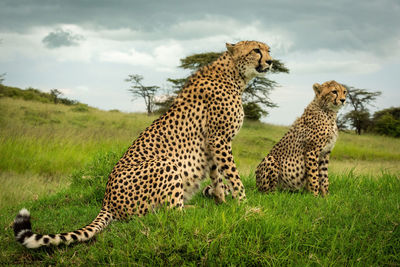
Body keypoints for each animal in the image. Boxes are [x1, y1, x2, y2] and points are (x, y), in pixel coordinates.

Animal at [14, 39, 274, 249]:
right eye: (256, 50)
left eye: (268, 49)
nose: (271, 62)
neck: (234, 75)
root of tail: (106, 200)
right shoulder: (219, 140)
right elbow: (234, 177)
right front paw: (246, 205)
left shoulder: (212, 145)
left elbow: (217, 177)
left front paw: (223, 203)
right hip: (165, 163)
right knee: (169, 213)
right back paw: (194, 210)